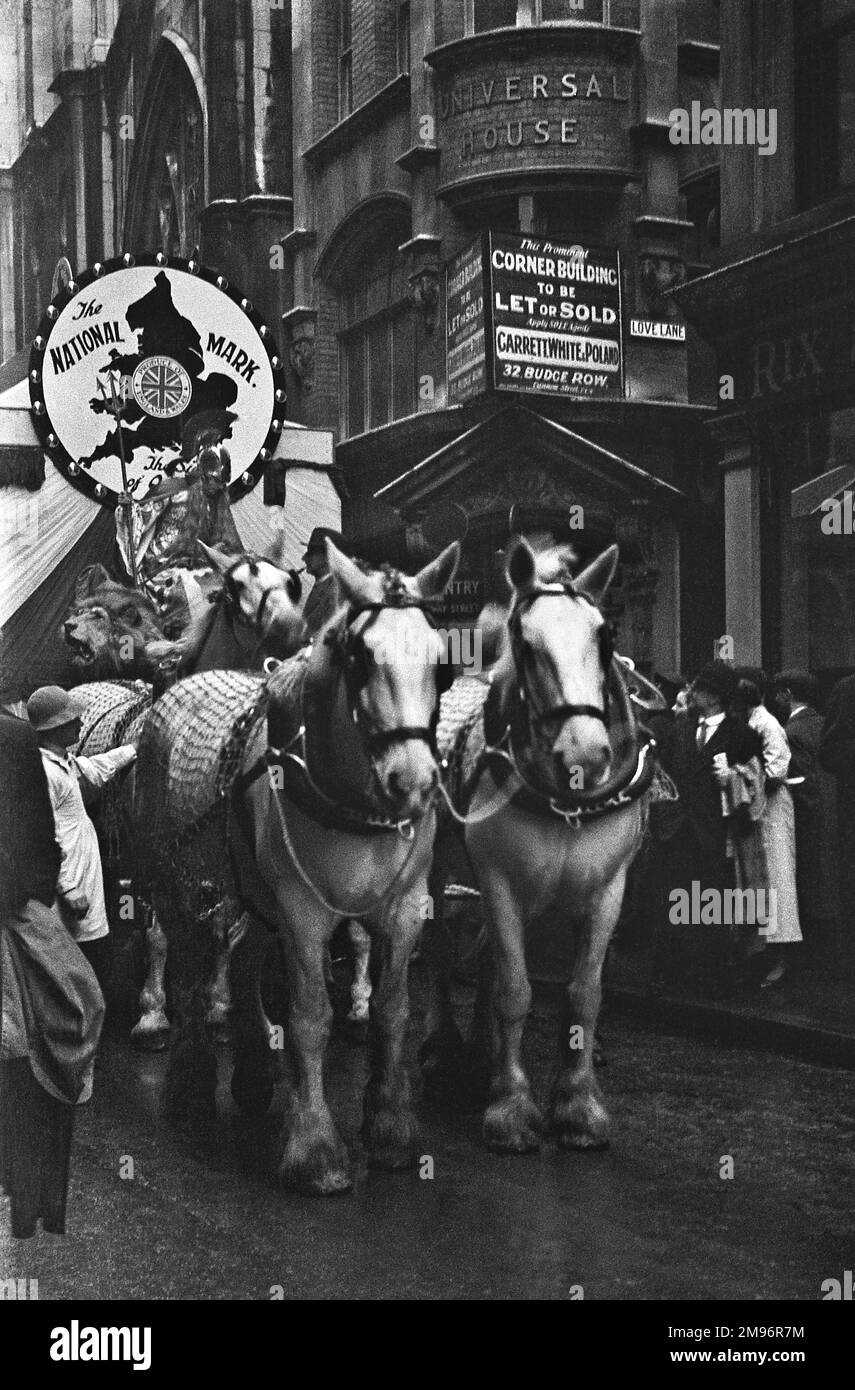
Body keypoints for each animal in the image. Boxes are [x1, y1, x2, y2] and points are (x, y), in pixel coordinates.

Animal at [428, 536, 656, 1156]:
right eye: (527, 645)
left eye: (605, 637)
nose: (586, 754)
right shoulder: (500, 882)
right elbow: (514, 989)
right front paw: (510, 1107)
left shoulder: (608, 891)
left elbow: (583, 995)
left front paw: (579, 1106)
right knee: (438, 946)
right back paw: (445, 1046)